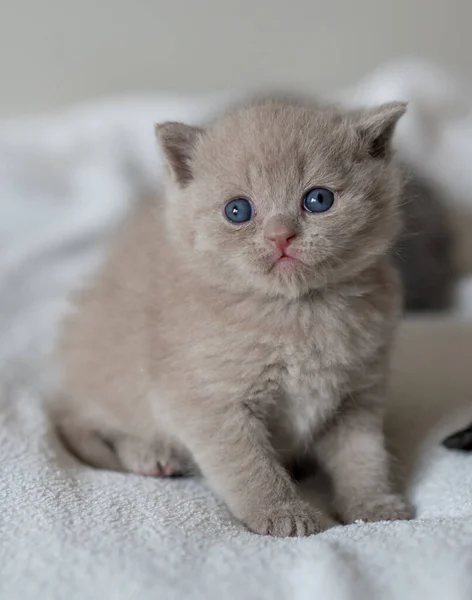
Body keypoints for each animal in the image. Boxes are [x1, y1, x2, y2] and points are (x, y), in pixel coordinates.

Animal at [52, 96, 412, 536]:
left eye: (319, 200)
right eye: (237, 210)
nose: (280, 235)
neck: (296, 314)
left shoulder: (358, 395)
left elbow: (364, 457)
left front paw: (374, 505)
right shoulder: (208, 400)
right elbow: (249, 467)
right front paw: (283, 512)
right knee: (85, 425)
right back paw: (150, 454)